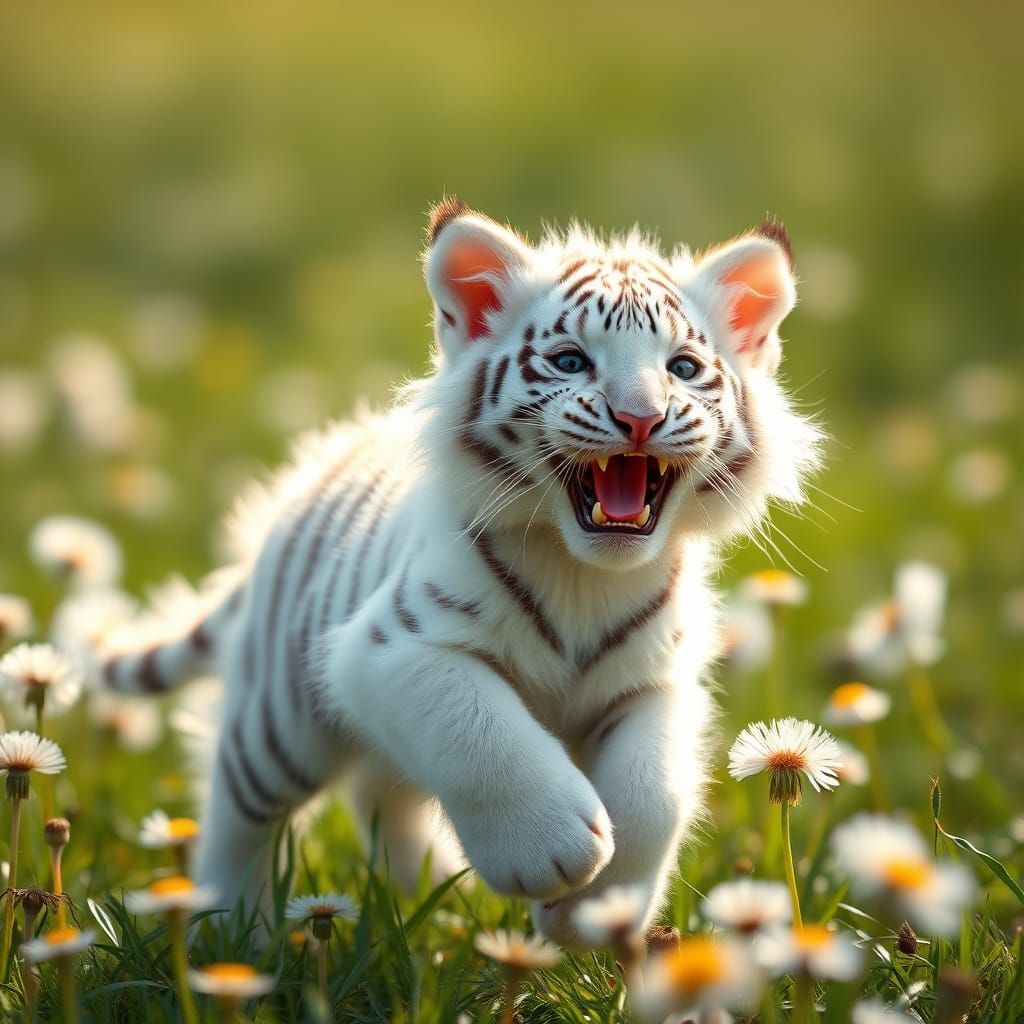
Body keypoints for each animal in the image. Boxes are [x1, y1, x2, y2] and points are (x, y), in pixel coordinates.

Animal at [99, 198, 821, 945]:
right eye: (570, 361)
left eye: (682, 368)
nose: (640, 418)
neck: (585, 574)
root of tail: (309, 480)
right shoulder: (391, 648)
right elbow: (478, 729)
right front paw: (551, 850)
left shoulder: (655, 683)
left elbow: (654, 792)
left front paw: (597, 909)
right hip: (278, 723)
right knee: (239, 813)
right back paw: (232, 932)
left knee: (382, 792)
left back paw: (427, 902)